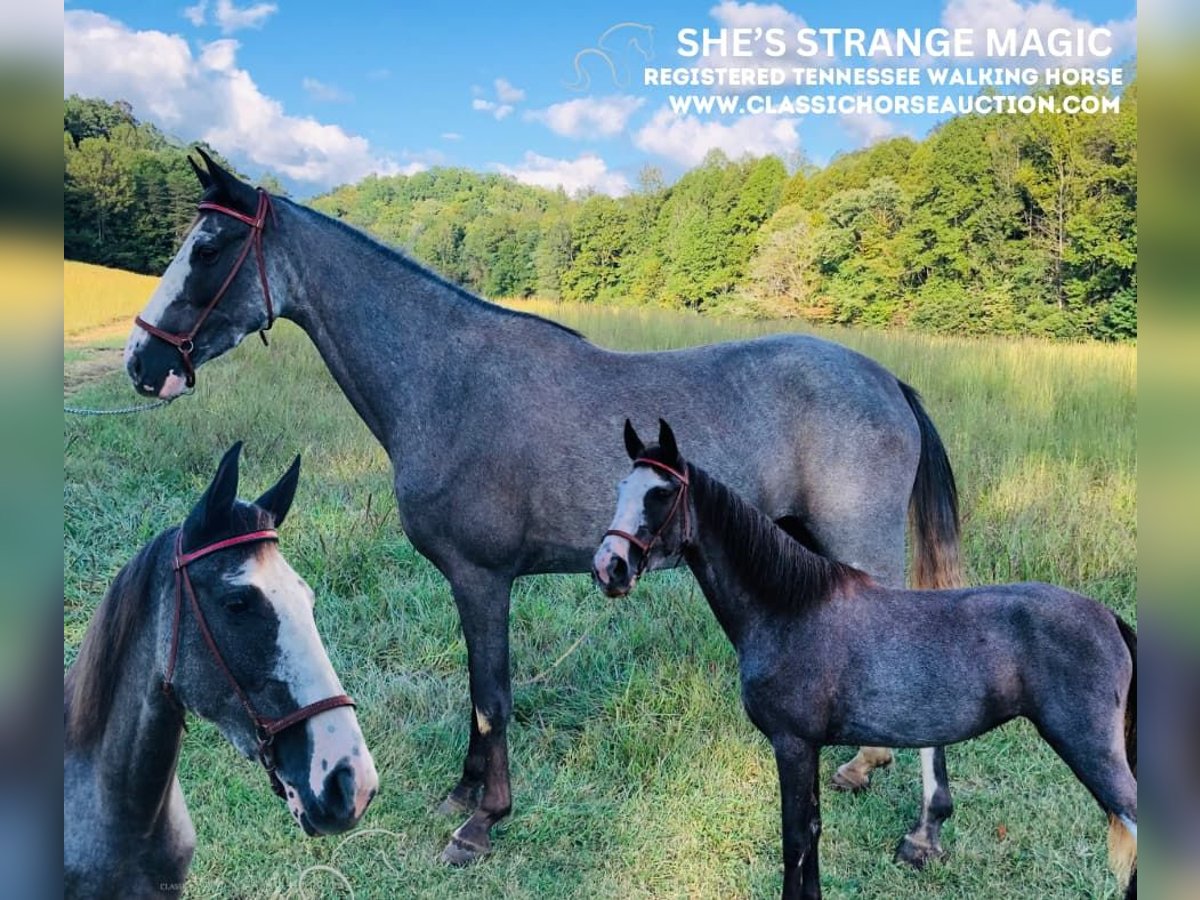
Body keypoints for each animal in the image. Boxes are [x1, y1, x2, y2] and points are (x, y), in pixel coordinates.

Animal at [124, 153, 964, 868]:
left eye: (209, 249)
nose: (144, 363)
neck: (446, 379)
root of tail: (888, 380)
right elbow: (478, 690)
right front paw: (463, 793)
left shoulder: (482, 577)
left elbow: (492, 697)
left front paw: (482, 821)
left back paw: (920, 828)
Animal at [595, 422, 1137, 900]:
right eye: (622, 486)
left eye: (662, 493)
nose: (610, 567)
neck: (789, 608)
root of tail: (1110, 618)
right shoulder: (807, 748)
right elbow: (812, 831)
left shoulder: (792, 744)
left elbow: (794, 839)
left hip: (1091, 752)